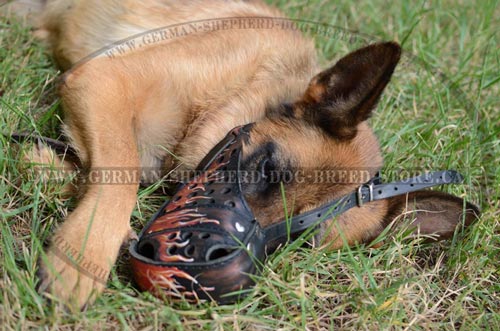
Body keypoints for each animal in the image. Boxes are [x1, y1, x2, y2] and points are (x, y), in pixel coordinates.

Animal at [7, 0, 476, 312]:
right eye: (267, 169)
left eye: (297, 239)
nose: (204, 273)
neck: (242, 90)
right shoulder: (104, 78)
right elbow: (122, 167)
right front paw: (81, 254)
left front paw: (46, 167)